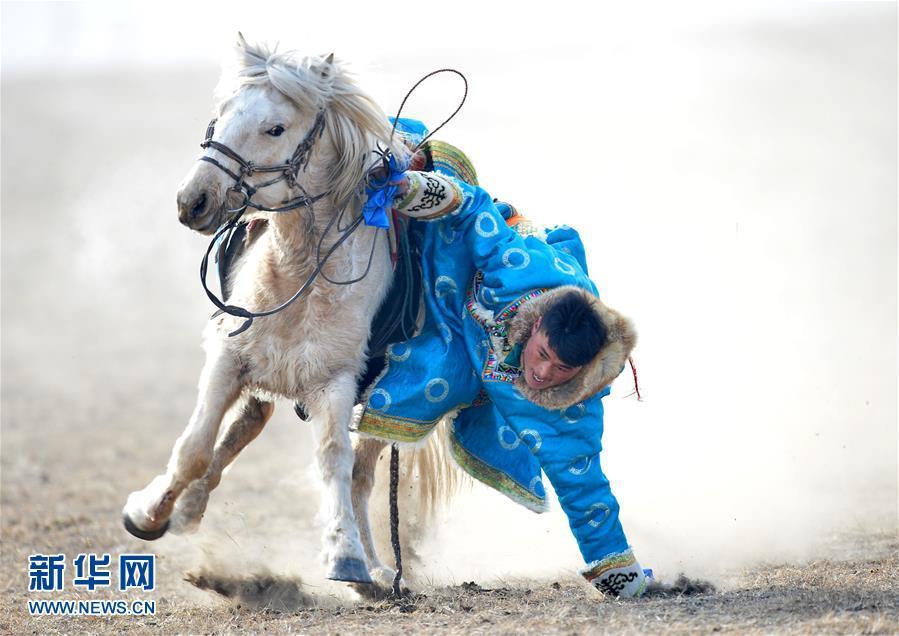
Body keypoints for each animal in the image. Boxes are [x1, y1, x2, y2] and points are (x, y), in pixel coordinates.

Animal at [123, 37, 442, 584]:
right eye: (222, 113)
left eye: (275, 128)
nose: (193, 200)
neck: (300, 273)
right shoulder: (228, 360)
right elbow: (194, 448)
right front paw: (149, 514)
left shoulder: (336, 381)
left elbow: (335, 461)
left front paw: (347, 556)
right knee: (243, 428)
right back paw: (186, 511)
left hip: (382, 406)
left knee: (361, 474)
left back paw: (380, 568)